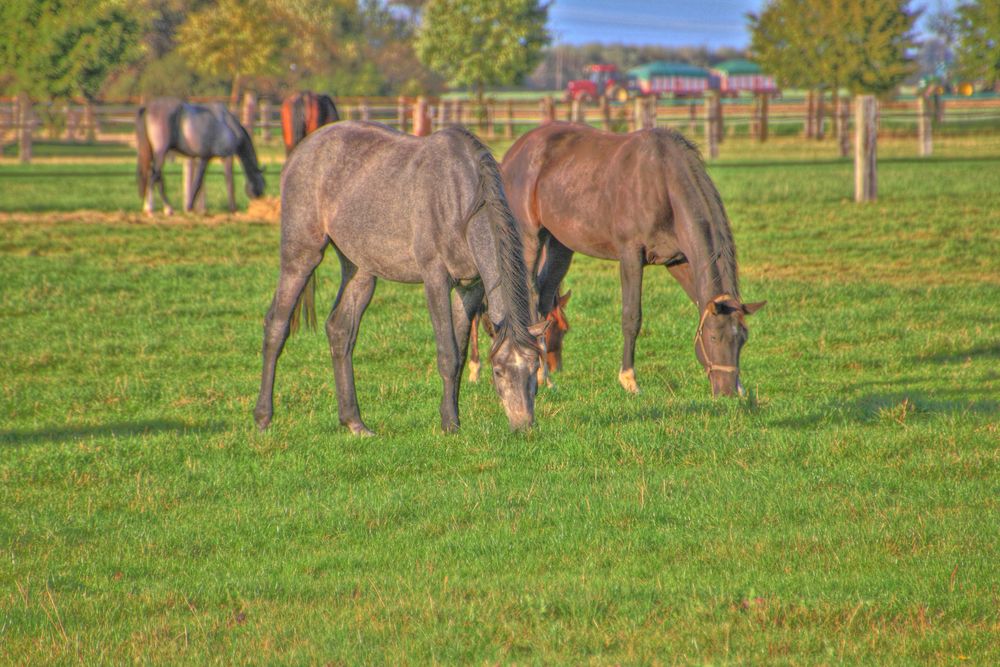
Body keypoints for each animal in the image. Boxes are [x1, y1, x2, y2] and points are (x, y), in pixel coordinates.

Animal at [135, 96, 266, 215]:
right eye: (263, 182)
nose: (260, 199)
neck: (229, 125)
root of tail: (148, 107)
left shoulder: (204, 158)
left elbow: (197, 182)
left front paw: (190, 207)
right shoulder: (227, 157)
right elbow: (229, 182)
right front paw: (233, 209)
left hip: (155, 154)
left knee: (155, 177)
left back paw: (162, 208)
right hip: (161, 152)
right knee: (154, 177)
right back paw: (153, 209)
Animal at [250, 120, 548, 436]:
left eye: (535, 368)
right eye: (498, 371)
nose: (524, 425)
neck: (459, 199)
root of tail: (301, 151)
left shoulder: (470, 288)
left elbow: (460, 352)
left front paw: (453, 418)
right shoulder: (435, 279)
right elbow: (448, 354)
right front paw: (449, 424)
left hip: (360, 269)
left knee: (340, 330)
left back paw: (355, 422)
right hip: (302, 255)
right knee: (276, 325)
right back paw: (263, 417)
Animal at [500, 121, 764, 396]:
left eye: (742, 339)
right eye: (713, 337)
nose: (727, 392)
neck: (663, 182)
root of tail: (515, 151)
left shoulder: (678, 261)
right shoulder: (630, 256)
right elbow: (632, 317)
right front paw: (629, 379)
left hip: (560, 244)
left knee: (543, 295)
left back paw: (544, 374)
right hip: (529, 237)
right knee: (529, 293)